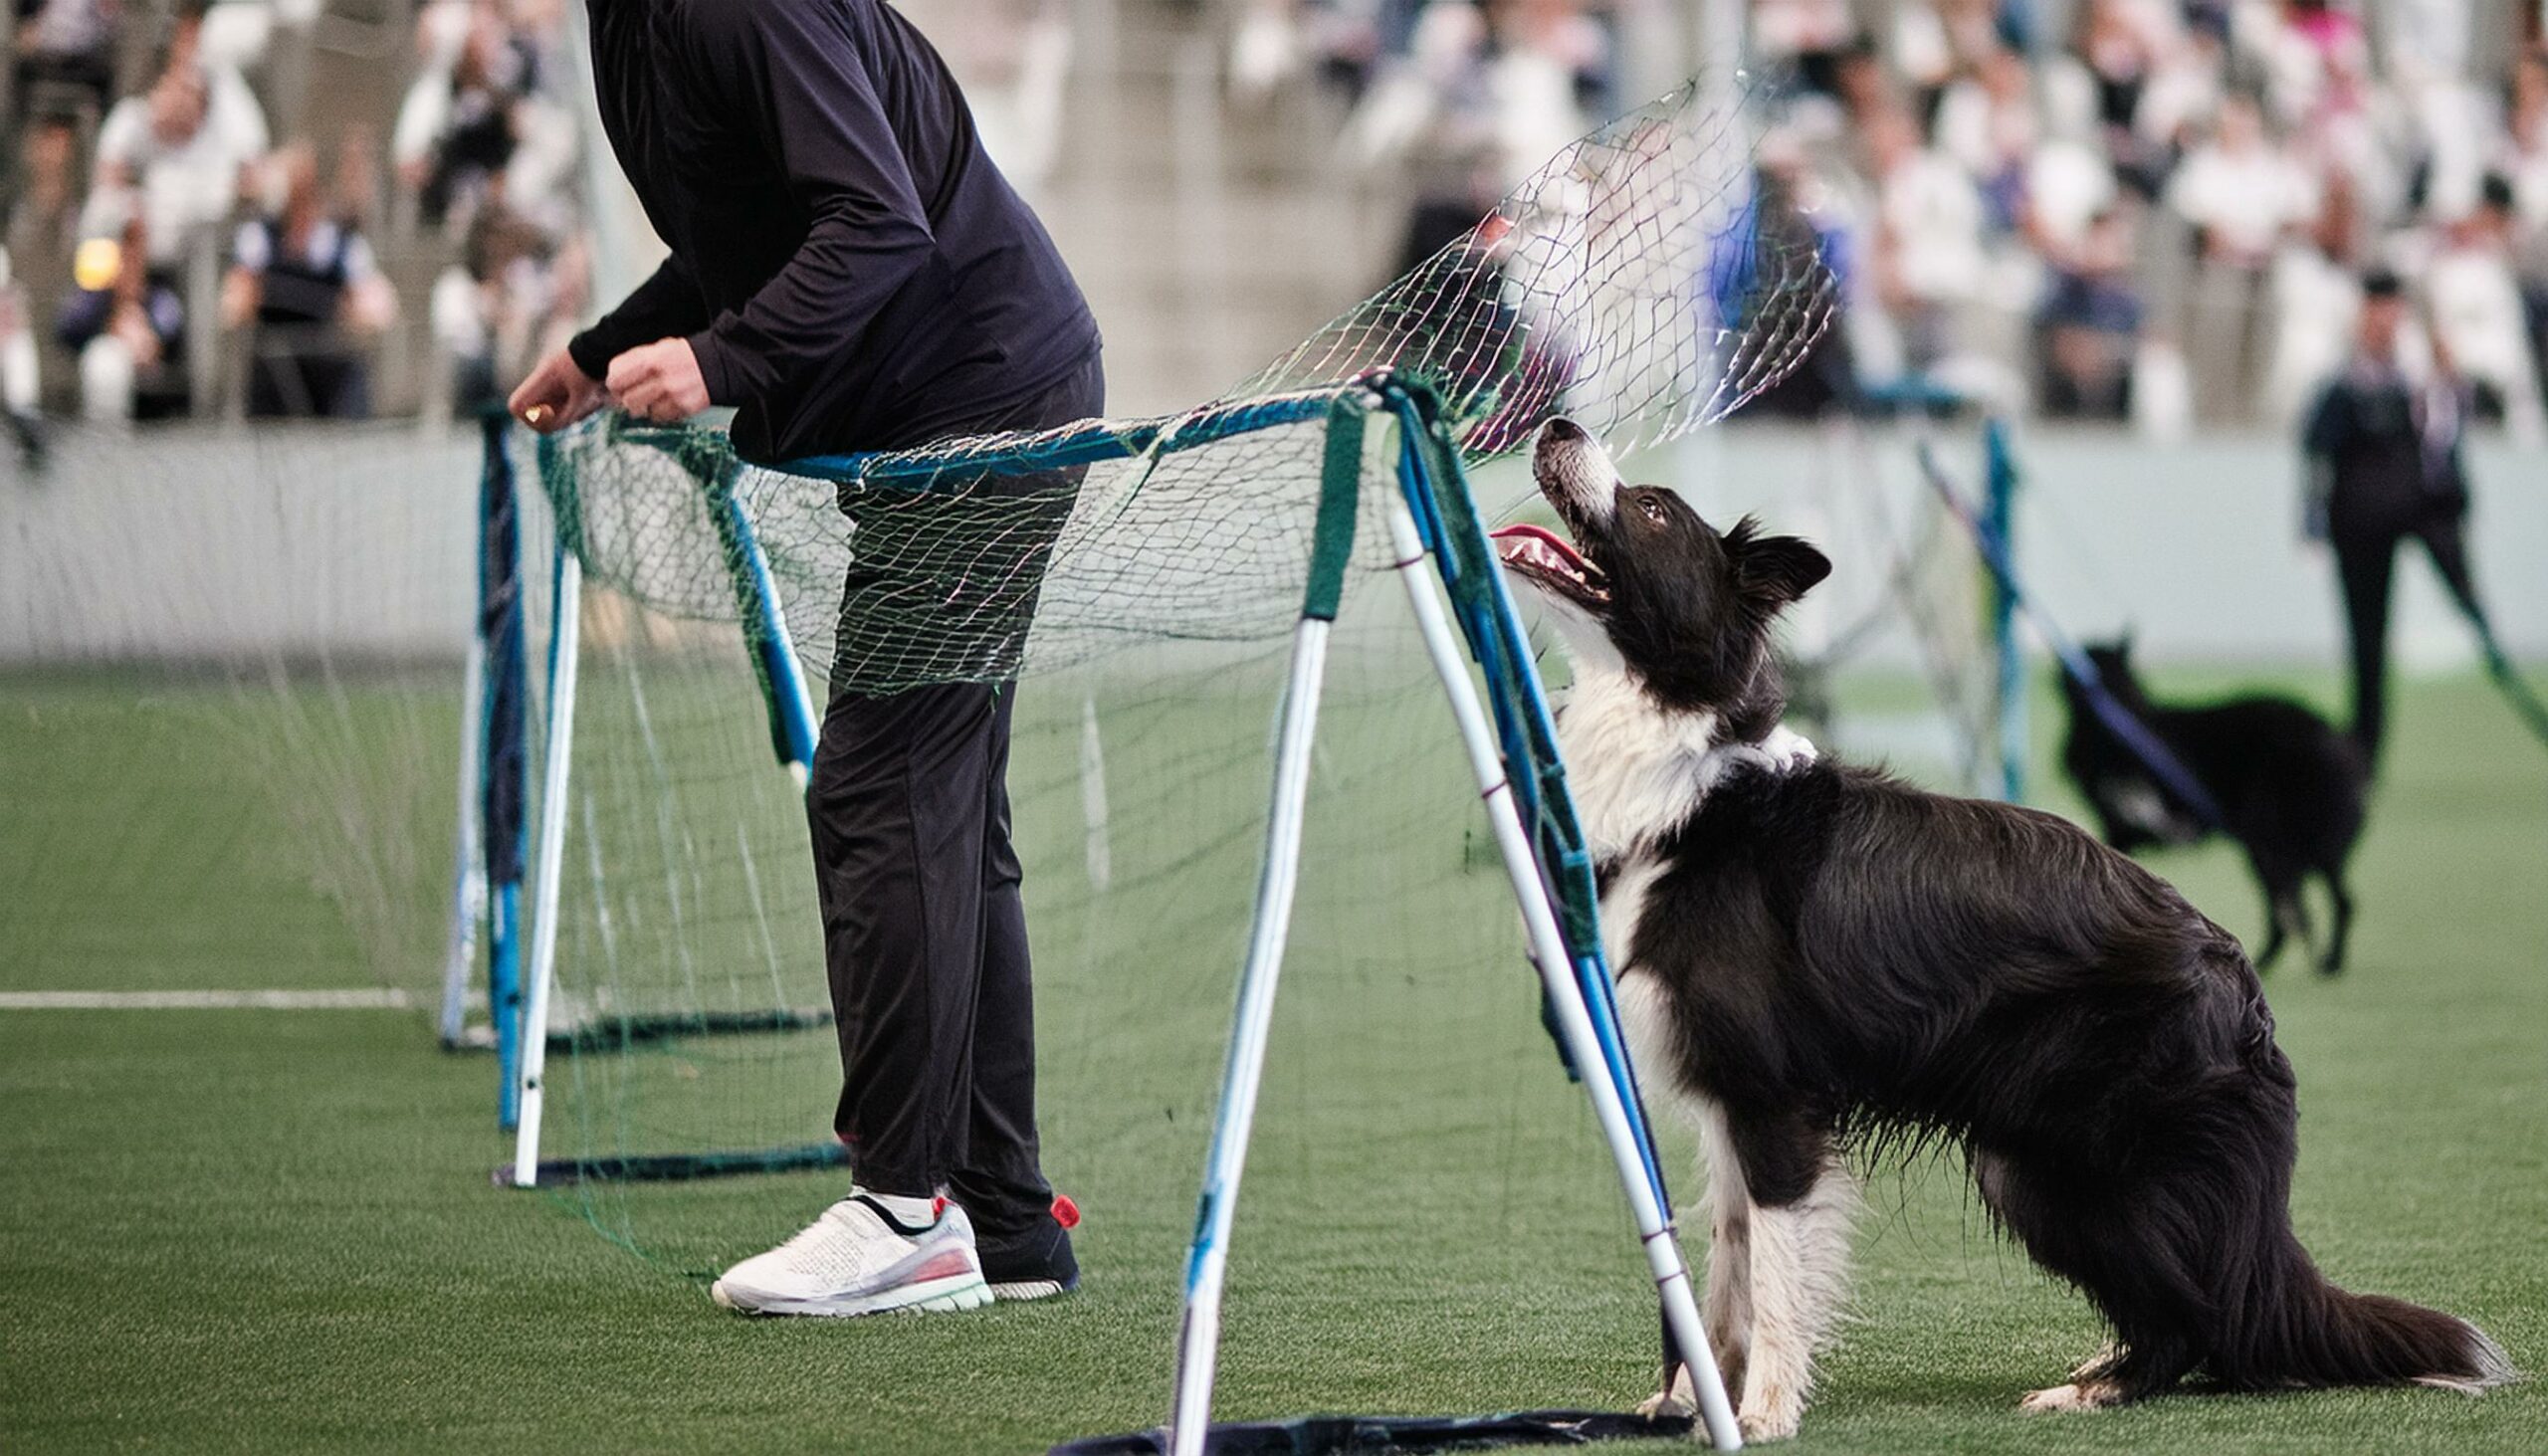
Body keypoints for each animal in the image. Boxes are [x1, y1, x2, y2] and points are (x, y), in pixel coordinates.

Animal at [2048, 642, 2364, 973]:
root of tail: (2337, 738)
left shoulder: (2123, 829)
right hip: (2272, 849)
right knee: (2291, 912)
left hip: (2293, 846)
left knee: (2335, 903)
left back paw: (2327, 962)